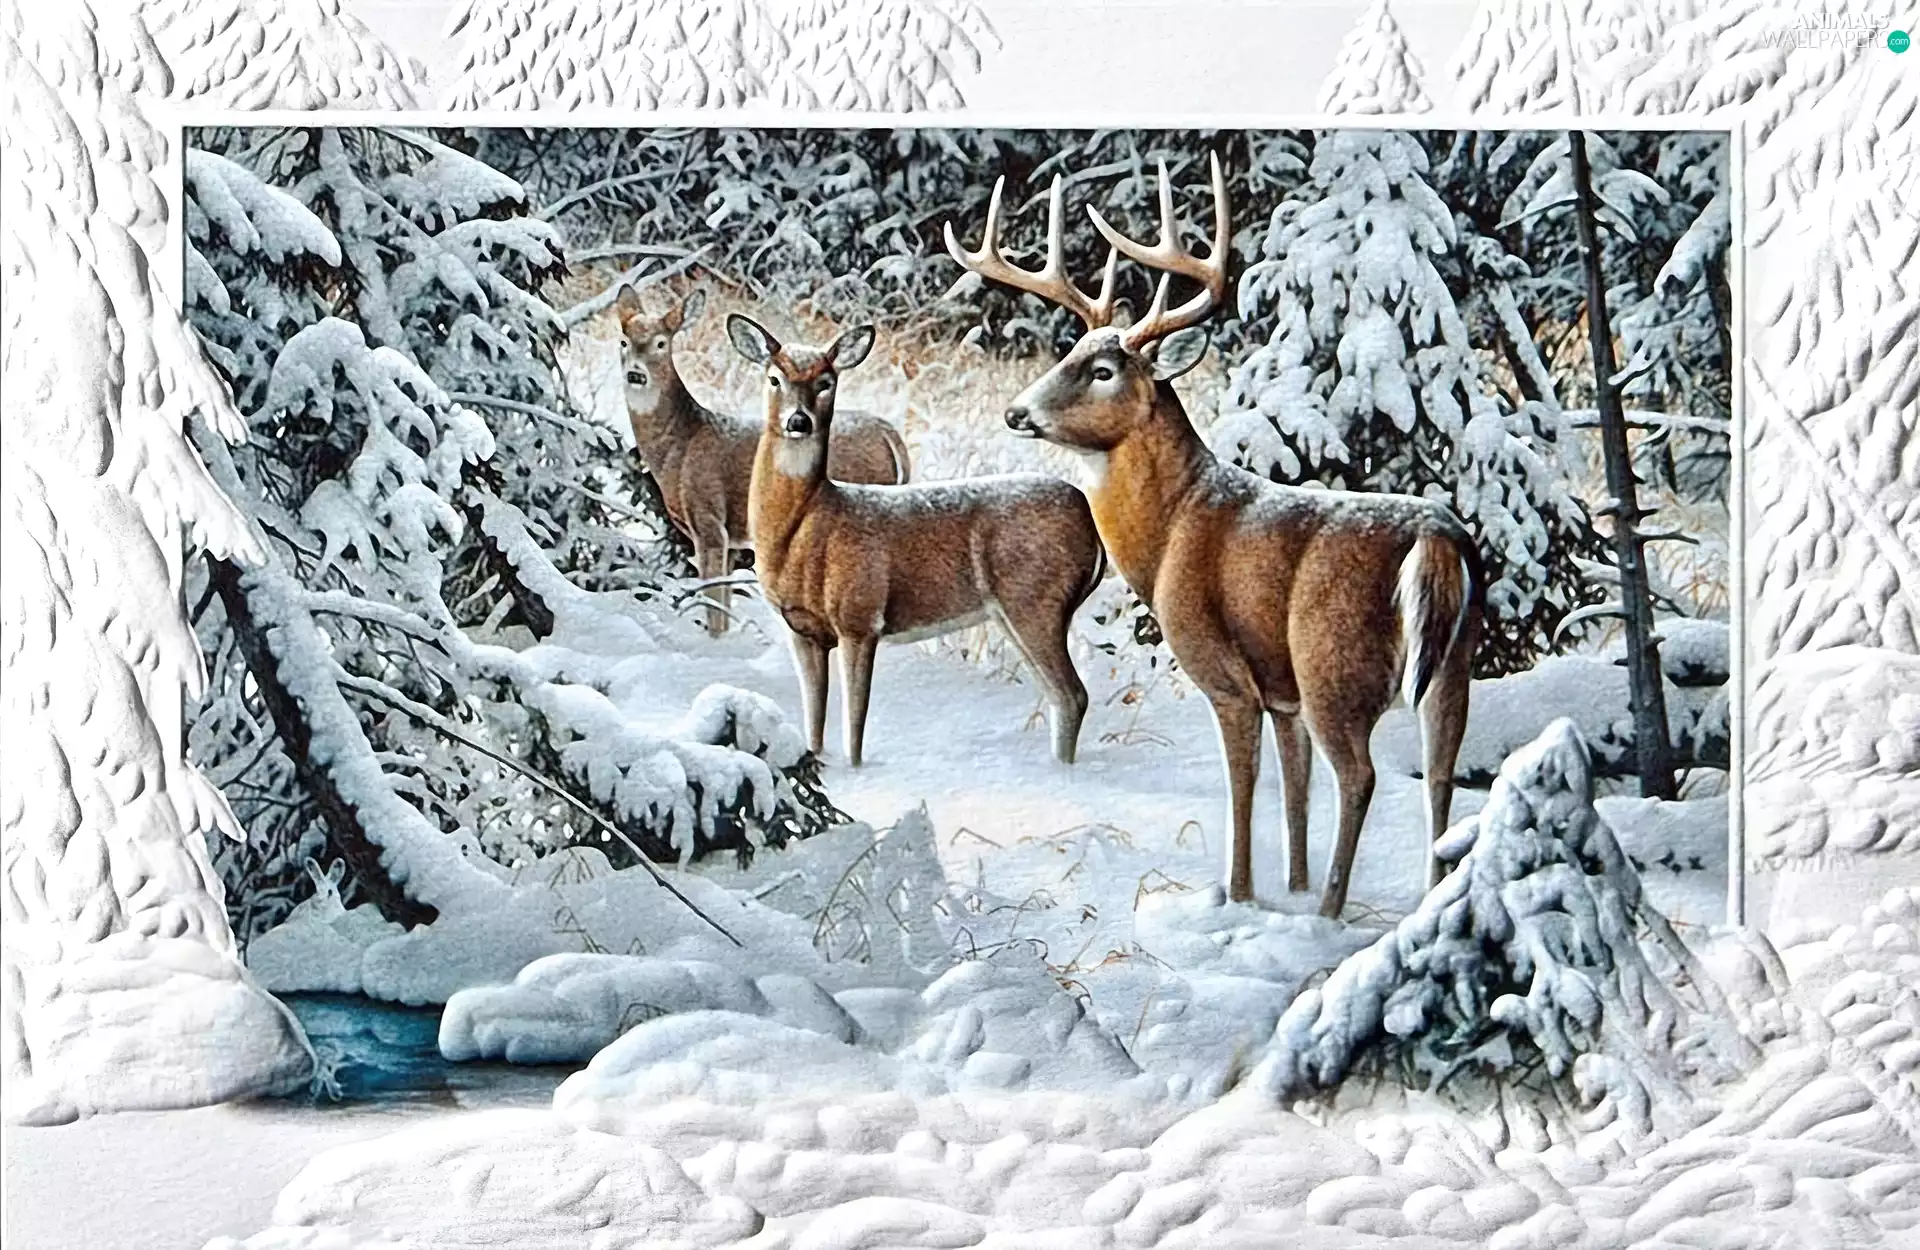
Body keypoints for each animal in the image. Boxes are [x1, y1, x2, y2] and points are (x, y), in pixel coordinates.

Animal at [616, 285, 911, 634]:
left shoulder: (709, 519)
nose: (636, 374)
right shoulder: (732, 541)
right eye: (623, 341)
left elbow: (713, 606)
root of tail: (889, 435)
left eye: (662, 343)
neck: (682, 444)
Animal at [727, 311, 1107, 770]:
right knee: (1060, 696)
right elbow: (814, 721)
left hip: (1037, 600)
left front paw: (855, 772)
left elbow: (854, 725)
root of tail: (1091, 524)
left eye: (826, 381)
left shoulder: (860, 617)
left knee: (1073, 695)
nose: (799, 421)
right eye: (774, 378)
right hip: (1015, 612)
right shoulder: (801, 630)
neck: (806, 528)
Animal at [946, 156, 1483, 919]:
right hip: (1453, 664)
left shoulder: (1227, 672)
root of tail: (1437, 537)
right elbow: (1295, 789)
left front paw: (1241, 894)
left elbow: (1245, 785)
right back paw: (1426, 900)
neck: (1173, 528)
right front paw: (1291, 884)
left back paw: (1332, 913)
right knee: (1440, 773)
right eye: (1067, 352)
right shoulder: (1281, 691)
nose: (1016, 411)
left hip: (1333, 658)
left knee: (1361, 776)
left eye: (1103, 371)